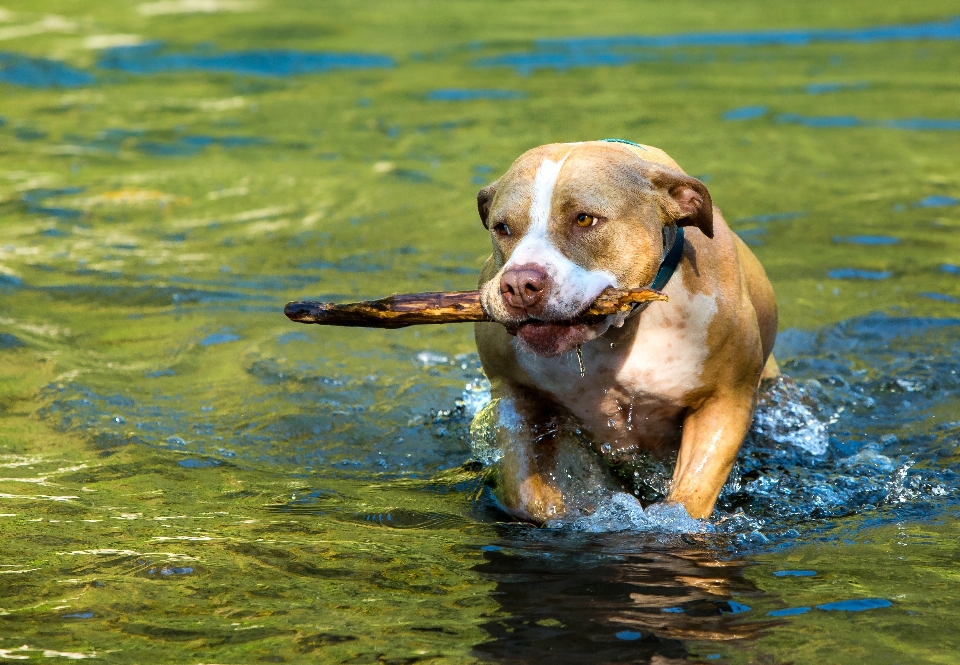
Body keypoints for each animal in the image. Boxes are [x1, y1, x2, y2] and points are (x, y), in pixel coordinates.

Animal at [472, 141, 780, 524]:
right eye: (502, 227)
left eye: (584, 219)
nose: (518, 284)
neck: (617, 331)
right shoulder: (514, 393)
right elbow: (529, 496)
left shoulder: (725, 400)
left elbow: (688, 500)